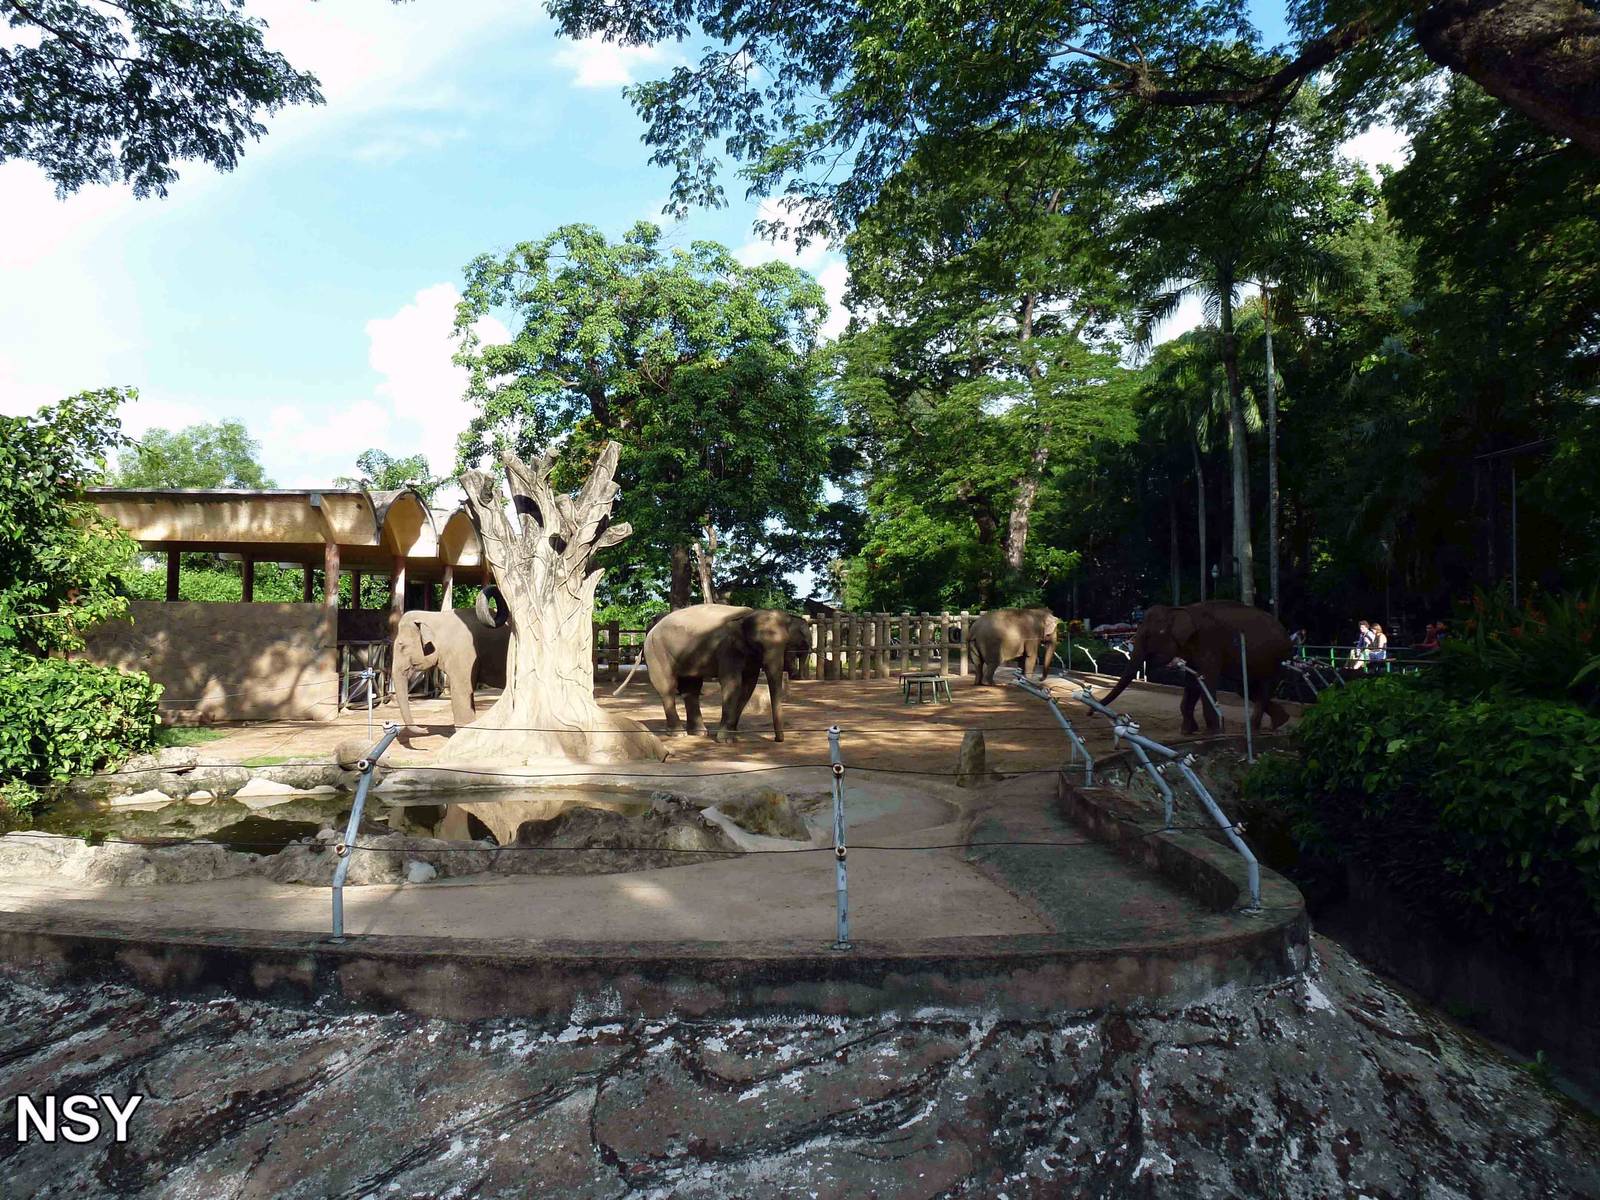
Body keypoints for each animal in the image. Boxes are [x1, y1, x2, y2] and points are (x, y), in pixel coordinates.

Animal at [640, 604, 812, 741]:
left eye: (786, 643)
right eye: (758, 644)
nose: (777, 739)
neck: (747, 616)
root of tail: (652, 628)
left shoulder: (750, 656)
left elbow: (748, 686)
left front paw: (734, 734)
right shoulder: (728, 649)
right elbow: (732, 683)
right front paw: (726, 739)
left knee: (691, 689)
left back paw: (699, 733)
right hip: (656, 651)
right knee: (667, 687)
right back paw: (678, 734)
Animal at [1100, 601, 1292, 734]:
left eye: (1148, 636)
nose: (1092, 712)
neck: (1179, 609)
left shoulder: (1208, 642)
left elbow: (1206, 679)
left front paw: (1213, 732)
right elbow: (1192, 682)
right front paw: (1187, 731)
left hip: (1275, 657)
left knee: (1262, 687)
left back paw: (1253, 728)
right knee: (1246, 690)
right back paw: (1279, 722)